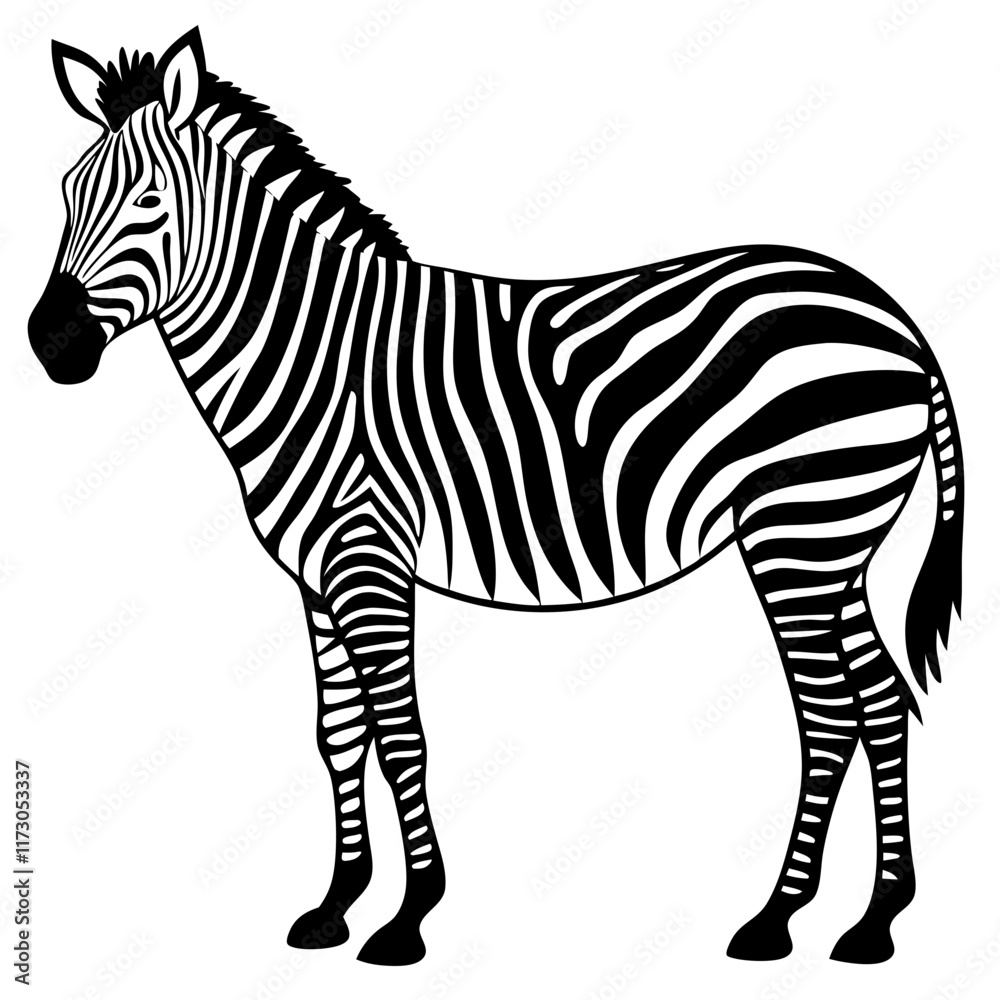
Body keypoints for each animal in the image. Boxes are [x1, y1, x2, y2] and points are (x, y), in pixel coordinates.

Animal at [29, 28, 964, 967]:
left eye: (149, 199)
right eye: (68, 194)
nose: (49, 343)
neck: (313, 351)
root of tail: (893, 316)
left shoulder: (368, 558)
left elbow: (401, 735)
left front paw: (407, 918)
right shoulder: (316, 577)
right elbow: (339, 736)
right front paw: (335, 906)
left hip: (799, 532)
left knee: (829, 713)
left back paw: (778, 918)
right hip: (833, 545)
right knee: (882, 699)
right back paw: (873, 919)